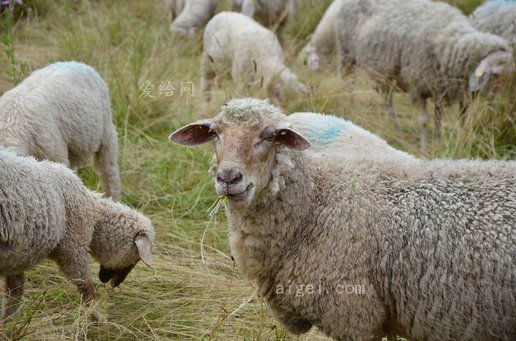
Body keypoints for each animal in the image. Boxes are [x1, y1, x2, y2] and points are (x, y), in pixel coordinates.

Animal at [0, 149, 154, 322]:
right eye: (136, 258)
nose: (115, 284)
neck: (94, 214)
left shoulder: (17, 256)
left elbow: (14, 292)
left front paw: (8, 323)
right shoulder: (73, 248)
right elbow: (86, 286)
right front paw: (95, 317)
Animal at [332, 0, 512, 149]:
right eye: (495, 74)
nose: (505, 107)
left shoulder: (446, 90)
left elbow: (446, 119)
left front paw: (442, 141)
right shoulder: (418, 87)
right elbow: (424, 122)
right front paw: (425, 147)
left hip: (385, 75)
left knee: (388, 102)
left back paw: (397, 130)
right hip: (347, 55)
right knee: (348, 85)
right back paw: (349, 106)